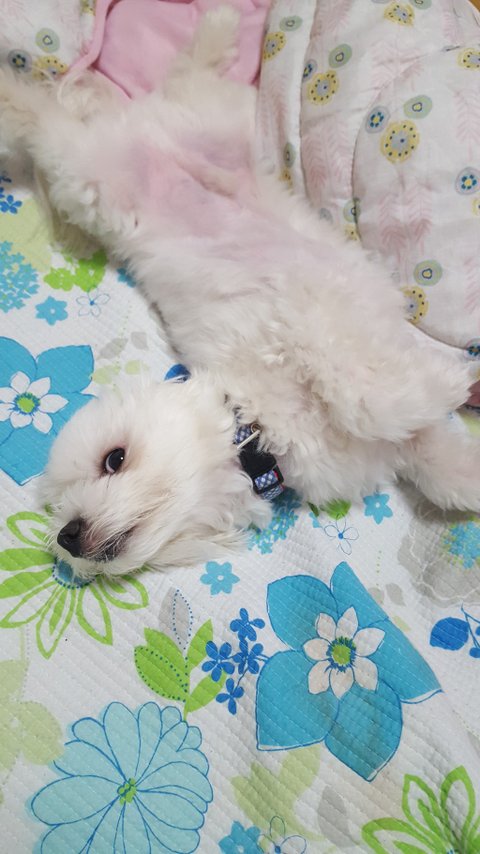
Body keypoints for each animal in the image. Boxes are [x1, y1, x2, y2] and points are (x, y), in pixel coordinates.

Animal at [0, 6, 478, 579]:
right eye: (61, 510)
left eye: (114, 459)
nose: (68, 535)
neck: (255, 430)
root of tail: (141, 129)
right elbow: (428, 455)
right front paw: (453, 403)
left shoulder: (312, 314)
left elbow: (373, 405)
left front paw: (450, 384)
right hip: (128, 161)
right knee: (113, 99)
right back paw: (215, 31)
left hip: (142, 148)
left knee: (62, 113)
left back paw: (214, 32)